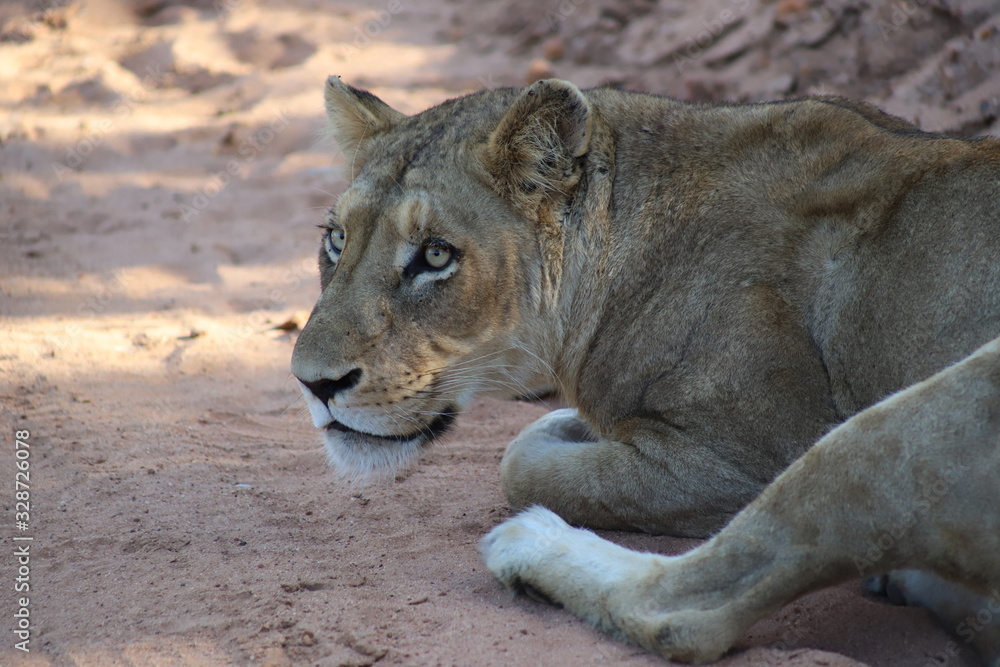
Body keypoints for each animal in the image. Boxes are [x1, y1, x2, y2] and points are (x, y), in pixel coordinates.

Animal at [290, 76, 1000, 664]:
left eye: (435, 255)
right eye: (336, 240)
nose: (312, 383)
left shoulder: (741, 460)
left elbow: (524, 465)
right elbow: (540, 435)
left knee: (685, 613)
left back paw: (532, 544)